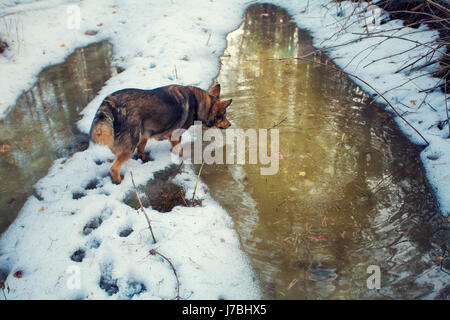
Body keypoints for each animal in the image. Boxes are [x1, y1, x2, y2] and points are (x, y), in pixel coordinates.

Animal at [90, 84, 232, 184]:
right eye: (223, 115)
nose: (230, 124)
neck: (199, 104)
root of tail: (109, 103)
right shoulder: (175, 135)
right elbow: (178, 148)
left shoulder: (145, 134)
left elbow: (141, 148)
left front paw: (142, 157)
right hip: (130, 144)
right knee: (114, 168)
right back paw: (119, 181)